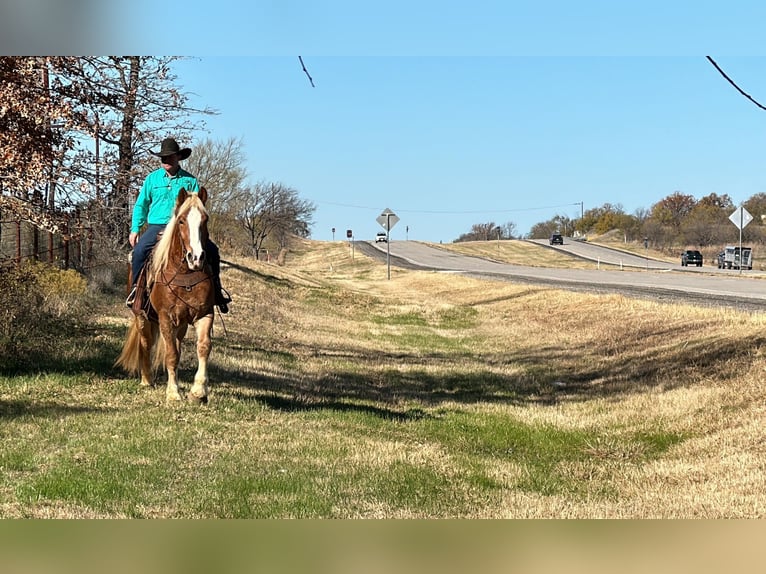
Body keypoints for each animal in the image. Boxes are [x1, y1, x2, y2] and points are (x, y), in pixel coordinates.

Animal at [118, 189, 218, 404]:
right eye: (181, 220)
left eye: (205, 220)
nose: (196, 258)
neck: (185, 274)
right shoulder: (165, 317)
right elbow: (171, 354)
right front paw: (173, 393)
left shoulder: (204, 314)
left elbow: (203, 347)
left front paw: (198, 391)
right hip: (142, 317)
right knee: (146, 343)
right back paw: (147, 379)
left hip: (181, 324)